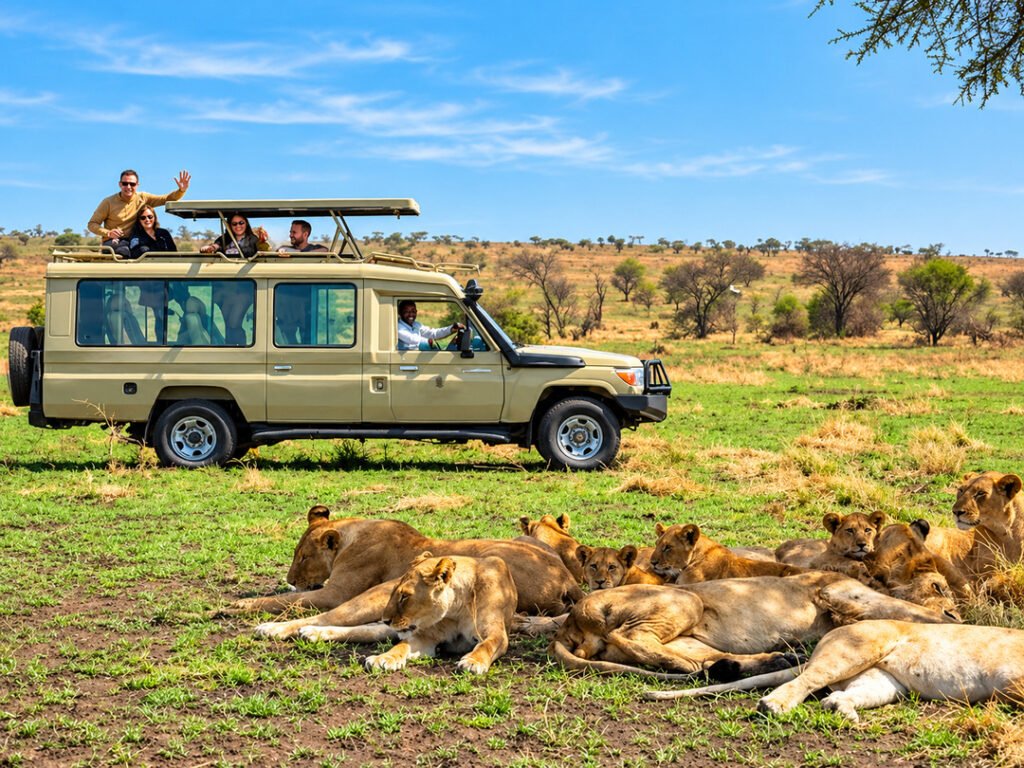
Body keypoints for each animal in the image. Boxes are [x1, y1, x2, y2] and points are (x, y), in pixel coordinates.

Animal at [230, 505, 580, 619]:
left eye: (303, 557)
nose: (291, 578)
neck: (352, 534)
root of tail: (567, 581)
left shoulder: (336, 594)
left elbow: (286, 600)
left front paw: (238, 605)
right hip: (525, 538)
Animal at [301, 553, 517, 675]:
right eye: (395, 593)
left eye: (405, 596)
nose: (386, 619)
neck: (457, 608)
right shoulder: (425, 636)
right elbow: (401, 647)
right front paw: (384, 659)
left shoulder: (496, 633)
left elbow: (486, 645)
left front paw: (473, 662)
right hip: (364, 608)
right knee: (323, 618)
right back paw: (304, 630)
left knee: (361, 631)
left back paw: (312, 633)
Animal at [549, 570, 960, 680]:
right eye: (941, 587)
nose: (956, 611)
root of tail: (571, 619)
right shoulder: (842, 591)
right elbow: (908, 610)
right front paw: (946, 619)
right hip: (685, 601)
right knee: (630, 635)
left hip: (691, 635)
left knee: (701, 658)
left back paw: (765, 662)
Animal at [647, 619, 1024, 722]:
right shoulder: (1013, 678)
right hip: (857, 648)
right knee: (806, 680)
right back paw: (774, 705)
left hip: (885, 683)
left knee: (835, 696)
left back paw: (845, 712)